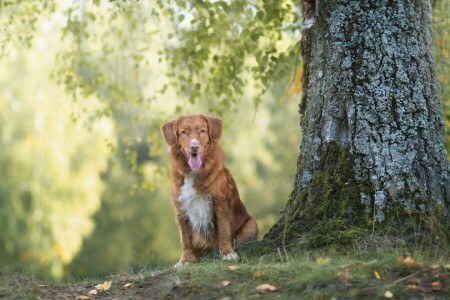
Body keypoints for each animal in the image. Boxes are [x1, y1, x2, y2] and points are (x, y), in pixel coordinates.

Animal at [163, 115, 258, 268]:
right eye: (184, 132)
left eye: (202, 130)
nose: (194, 147)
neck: (193, 173)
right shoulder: (181, 209)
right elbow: (185, 238)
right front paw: (185, 260)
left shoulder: (220, 203)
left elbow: (223, 230)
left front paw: (227, 253)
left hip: (251, 225)